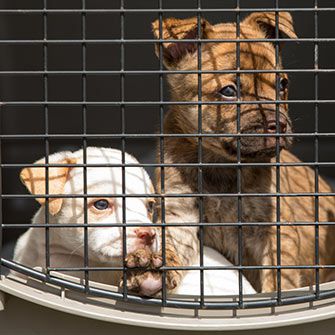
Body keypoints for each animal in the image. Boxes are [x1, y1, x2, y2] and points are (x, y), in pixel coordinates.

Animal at [125, 11, 335, 296]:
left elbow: (278, 279)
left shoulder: (275, 232)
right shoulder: (181, 217)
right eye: (228, 91)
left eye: (282, 84)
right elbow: (170, 246)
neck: (222, 165)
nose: (279, 124)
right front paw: (150, 270)